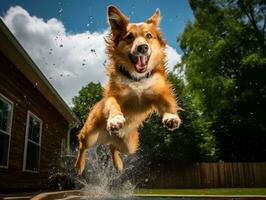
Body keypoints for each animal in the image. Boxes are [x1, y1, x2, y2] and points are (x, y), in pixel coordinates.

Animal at [76, 5, 182, 174]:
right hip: (90, 134)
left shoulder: (159, 93)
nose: (142, 47)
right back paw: (79, 166)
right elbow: (112, 103)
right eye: (129, 37)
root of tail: (109, 136)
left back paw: (118, 164)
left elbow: (168, 102)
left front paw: (171, 117)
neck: (136, 78)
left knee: (113, 147)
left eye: (148, 36)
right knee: (82, 144)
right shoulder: (113, 95)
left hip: (129, 146)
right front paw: (115, 119)